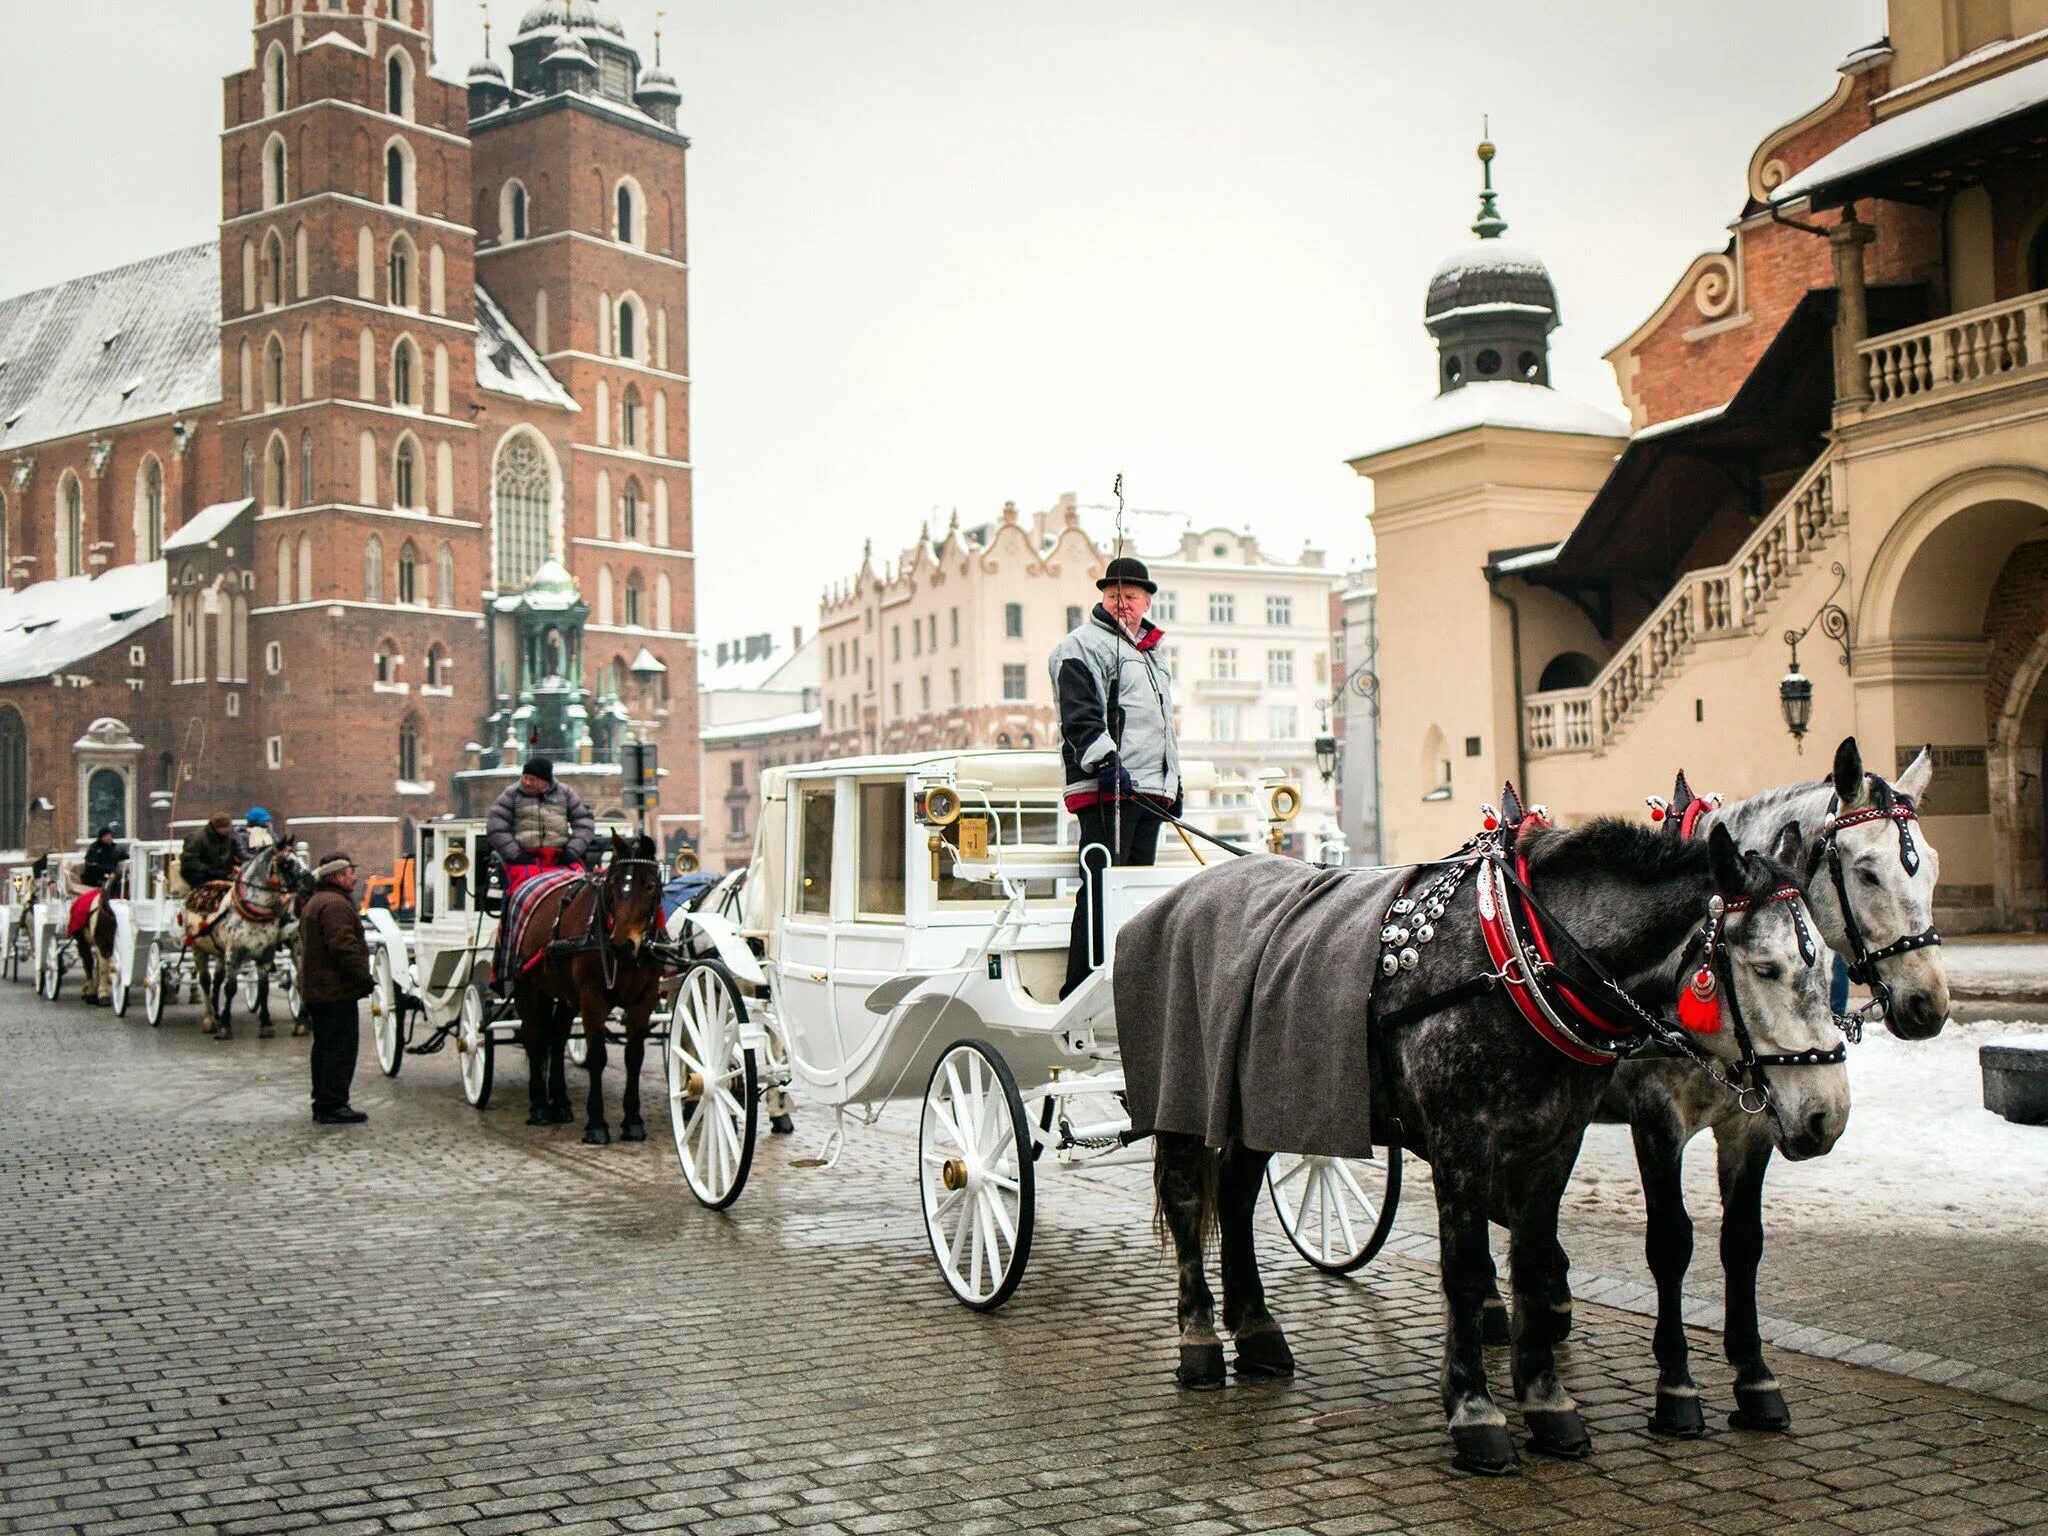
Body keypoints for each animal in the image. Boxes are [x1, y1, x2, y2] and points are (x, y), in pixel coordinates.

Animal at [507, 835, 667, 1146]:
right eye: (614, 885)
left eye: (650, 885)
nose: (622, 945)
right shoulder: (592, 998)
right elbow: (597, 1057)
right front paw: (596, 1124)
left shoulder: (644, 999)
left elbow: (634, 1057)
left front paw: (633, 1121)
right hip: (527, 987)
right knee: (534, 1038)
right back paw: (539, 1106)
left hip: (564, 993)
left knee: (556, 1038)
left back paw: (561, 1104)